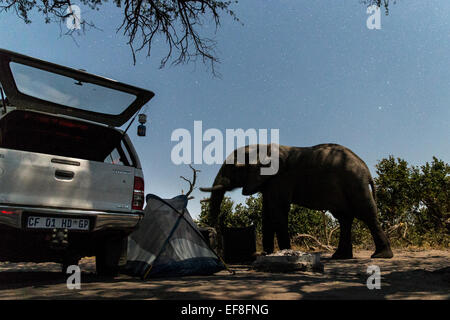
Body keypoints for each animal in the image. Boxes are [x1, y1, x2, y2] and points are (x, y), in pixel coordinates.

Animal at [200, 144, 394, 258]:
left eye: (233, 168)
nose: (211, 233)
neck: (262, 147)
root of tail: (366, 169)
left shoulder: (281, 177)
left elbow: (278, 211)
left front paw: (286, 253)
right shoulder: (269, 181)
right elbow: (267, 213)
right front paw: (266, 254)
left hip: (355, 183)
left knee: (366, 214)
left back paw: (381, 256)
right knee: (344, 218)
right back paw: (340, 257)